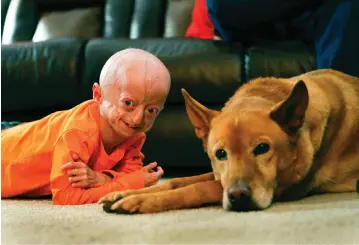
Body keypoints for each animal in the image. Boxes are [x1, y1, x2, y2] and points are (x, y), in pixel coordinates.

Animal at [98, 68, 359, 212]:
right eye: (220, 154)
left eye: (263, 148)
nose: (238, 197)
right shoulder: (219, 174)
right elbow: (180, 180)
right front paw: (124, 193)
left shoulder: (286, 186)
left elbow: (198, 188)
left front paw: (138, 201)